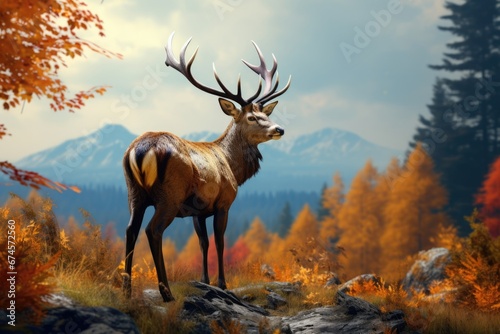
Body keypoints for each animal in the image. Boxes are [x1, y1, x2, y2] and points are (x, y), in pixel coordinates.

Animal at [121, 32, 292, 302]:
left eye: (267, 114)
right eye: (252, 117)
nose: (279, 129)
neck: (233, 166)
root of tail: (140, 151)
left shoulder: (197, 211)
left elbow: (203, 243)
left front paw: (205, 281)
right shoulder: (223, 203)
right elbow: (220, 241)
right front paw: (223, 283)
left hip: (133, 193)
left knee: (131, 230)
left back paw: (126, 290)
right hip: (169, 195)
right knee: (153, 230)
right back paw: (166, 292)